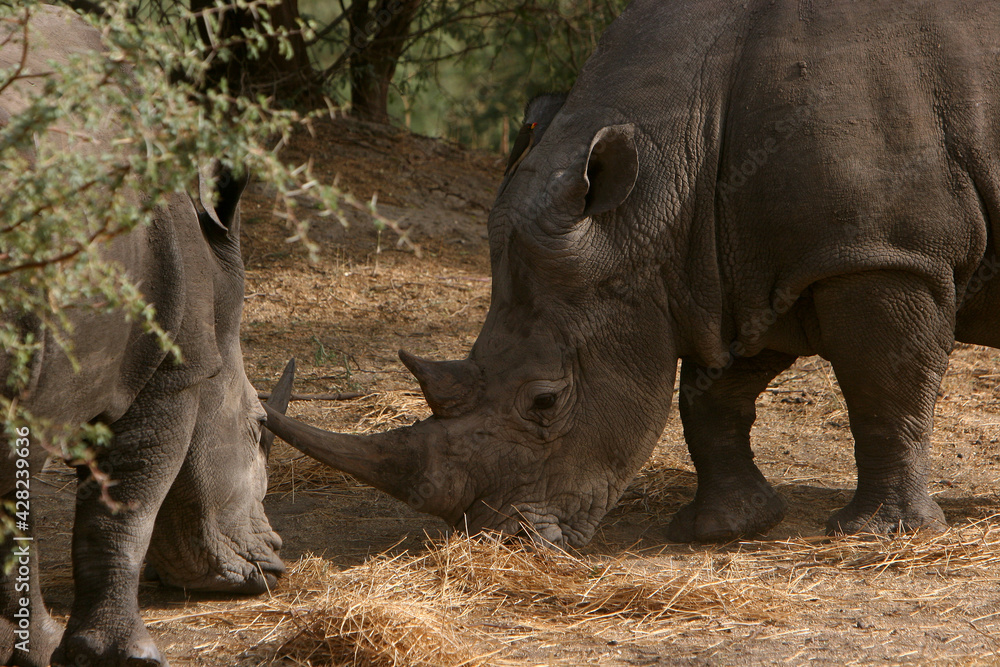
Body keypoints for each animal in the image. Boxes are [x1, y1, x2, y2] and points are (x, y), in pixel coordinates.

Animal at [266, 0, 1000, 548]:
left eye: (545, 401)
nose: (503, 541)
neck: (665, 167)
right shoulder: (730, 266)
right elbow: (708, 396)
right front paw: (721, 529)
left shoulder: (879, 253)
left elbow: (885, 387)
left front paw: (879, 534)